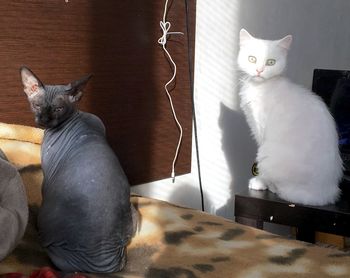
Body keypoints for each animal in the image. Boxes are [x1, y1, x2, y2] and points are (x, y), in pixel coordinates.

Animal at [19, 66, 136, 272]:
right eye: (38, 105)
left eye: (57, 109)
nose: (44, 120)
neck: (79, 116)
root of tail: (104, 260)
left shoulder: (47, 174)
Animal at [238, 28, 342, 206]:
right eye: (252, 59)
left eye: (270, 62)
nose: (259, 71)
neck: (260, 86)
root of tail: (322, 195)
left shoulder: (260, 130)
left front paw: (259, 181)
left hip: (268, 153)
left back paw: (270, 186)